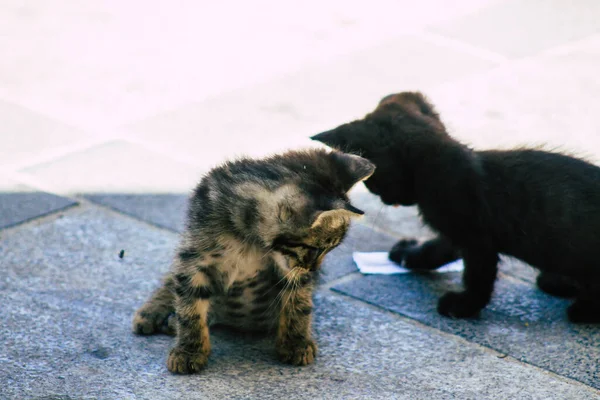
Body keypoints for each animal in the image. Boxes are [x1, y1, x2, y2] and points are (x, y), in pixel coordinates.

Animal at [132, 148, 376, 374]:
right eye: (317, 249)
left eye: (329, 249)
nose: (315, 269)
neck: (251, 241)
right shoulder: (194, 259)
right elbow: (189, 307)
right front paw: (189, 351)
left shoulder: (292, 272)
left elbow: (299, 303)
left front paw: (296, 343)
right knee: (171, 280)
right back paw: (152, 312)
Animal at [312, 92, 600, 324]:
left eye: (371, 181)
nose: (383, 199)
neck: (434, 159)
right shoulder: (454, 232)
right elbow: (435, 250)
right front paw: (409, 255)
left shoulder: (476, 238)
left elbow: (478, 276)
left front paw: (463, 306)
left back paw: (583, 309)